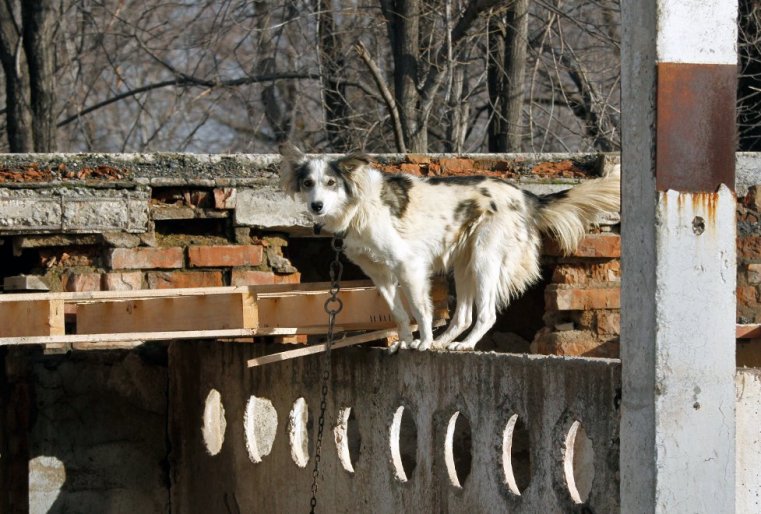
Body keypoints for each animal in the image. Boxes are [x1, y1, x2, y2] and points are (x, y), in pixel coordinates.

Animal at [278, 144, 616, 352]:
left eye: (331, 182)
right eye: (308, 183)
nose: (316, 206)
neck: (360, 206)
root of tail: (525, 195)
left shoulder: (409, 266)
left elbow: (420, 310)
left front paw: (423, 343)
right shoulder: (380, 275)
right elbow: (399, 313)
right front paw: (404, 342)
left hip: (483, 261)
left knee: (486, 315)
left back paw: (462, 344)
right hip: (463, 265)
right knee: (464, 316)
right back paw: (446, 341)